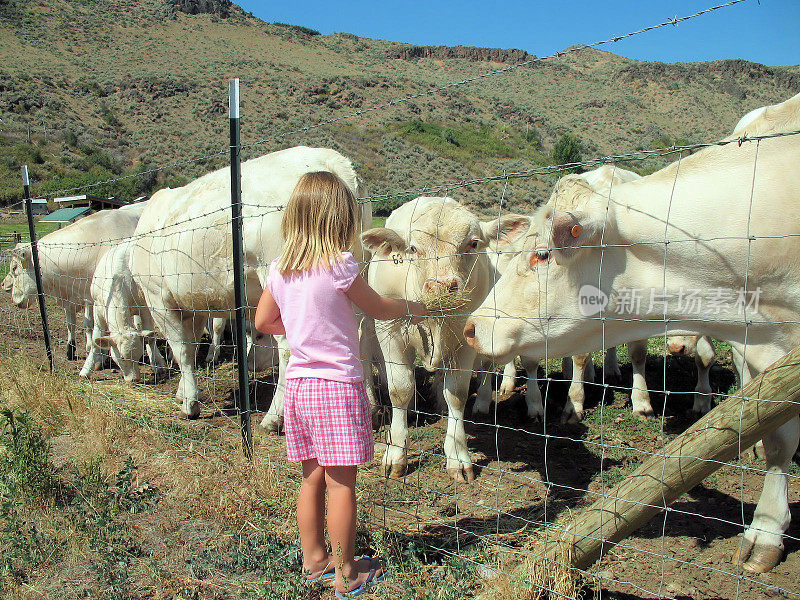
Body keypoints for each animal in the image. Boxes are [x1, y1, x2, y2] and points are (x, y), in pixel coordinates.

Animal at [1, 203, 145, 360]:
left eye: (14, 268)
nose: (13, 298)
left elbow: (90, 324)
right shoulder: (73, 297)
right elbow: (72, 323)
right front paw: (70, 349)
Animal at [129, 146, 372, 420]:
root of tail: (332, 161)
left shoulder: (157, 297)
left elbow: (181, 349)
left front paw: (190, 402)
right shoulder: (193, 302)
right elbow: (191, 344)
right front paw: (184, 391)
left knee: (288, 348)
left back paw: (274, 417)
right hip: (357, 274)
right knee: (359, 333)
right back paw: (369, 404)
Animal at [362, 198, 532, 482]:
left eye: (473, 243)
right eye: (413, 248)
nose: (442, 286)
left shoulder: (466, 340)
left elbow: (457, 394)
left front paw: (458, 455)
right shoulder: (389, 332)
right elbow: (399, 390)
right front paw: (395, 454)